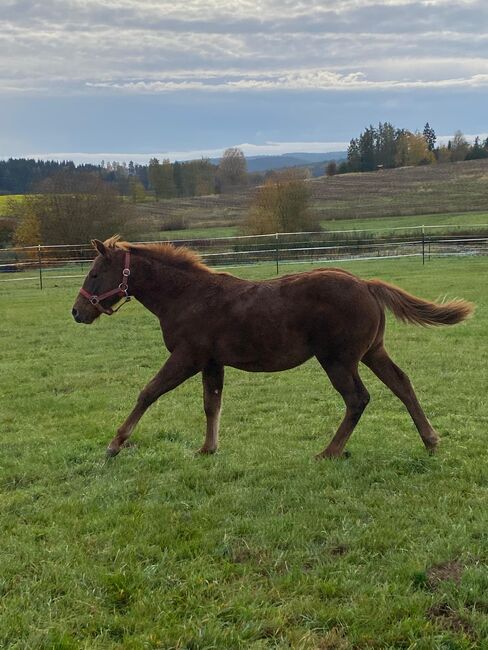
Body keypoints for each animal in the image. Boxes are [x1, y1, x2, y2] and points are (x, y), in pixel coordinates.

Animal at [71, 237, 472, 456]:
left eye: (94, 273)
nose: (77, 312)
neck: (188, 296)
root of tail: (366, 284)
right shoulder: (212, 362)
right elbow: (211, 404)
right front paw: (208, 449)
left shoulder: (187, 357)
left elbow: (148, 392)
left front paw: (115, 443)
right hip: (372, 352)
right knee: (402, 384)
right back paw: (430, 440)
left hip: (338, 360)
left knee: (358, 399)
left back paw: (329, 452)